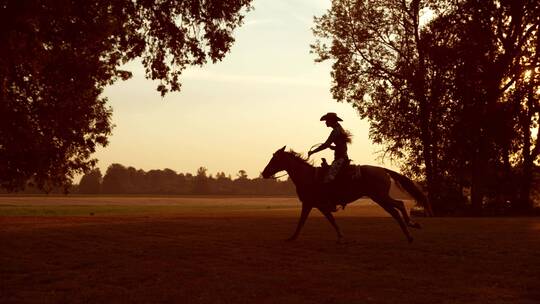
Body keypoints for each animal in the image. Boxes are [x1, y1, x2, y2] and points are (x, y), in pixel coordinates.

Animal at [260, 146, 432, 243]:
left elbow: (303, 221)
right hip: (381, 197)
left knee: (396, 209)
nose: (264, 173)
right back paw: (411, 230)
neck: (307, 176)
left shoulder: (312, 204)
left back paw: (410, 229)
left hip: (380, 197)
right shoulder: (317, 205)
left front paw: (292, 237)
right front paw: (340, 237)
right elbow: (330, 220)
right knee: (398, 207)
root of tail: (382, 170)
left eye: (274, 159)